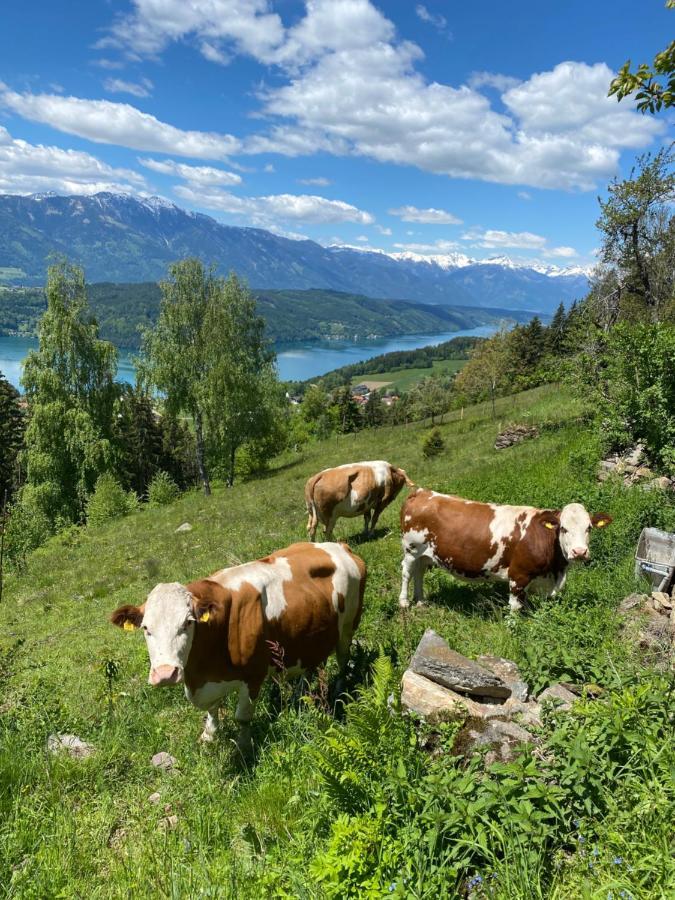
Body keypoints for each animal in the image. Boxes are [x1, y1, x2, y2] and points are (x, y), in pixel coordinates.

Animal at [111, 544, 368, 748]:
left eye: (188, 622)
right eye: (146, 628)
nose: (165, 674)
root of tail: (340, 546)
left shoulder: (253, 676)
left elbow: (242, 717)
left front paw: (244, 746)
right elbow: (212, 709)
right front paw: (209, 735)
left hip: (348, 628)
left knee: (343, 660)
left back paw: (338, 691)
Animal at [398, 488, 616, 616]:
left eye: (589, 528)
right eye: (563, 528)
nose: (579, 552)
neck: (555, 571)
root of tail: (422, 491)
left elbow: (526, 605)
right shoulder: (518, 575)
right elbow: (515, 606)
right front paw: (515, 629)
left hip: (425, 554)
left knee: (419, 572)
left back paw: (420, 601)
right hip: (411, 549)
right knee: (407, 572)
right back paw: (404, 602)